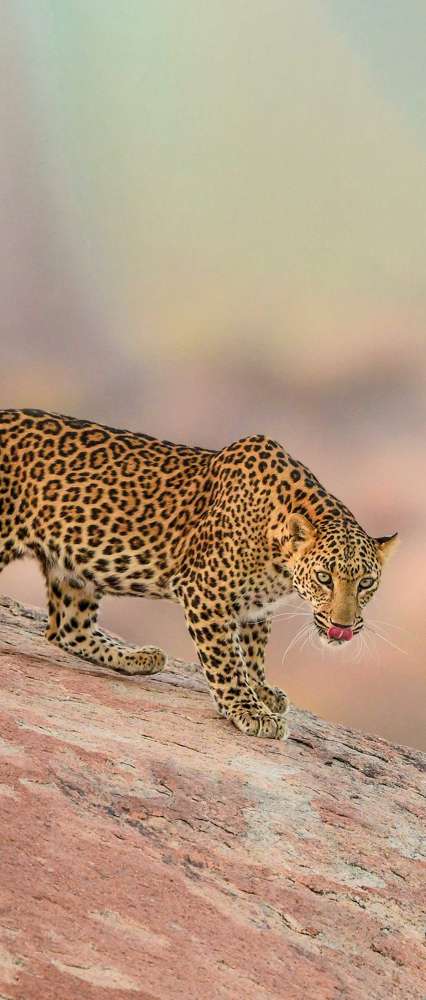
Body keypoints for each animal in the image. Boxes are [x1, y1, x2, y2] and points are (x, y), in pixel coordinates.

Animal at [0, 408, 396, 744]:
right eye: (324, 577)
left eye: (366, 583)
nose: (342, 626)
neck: (278, 551)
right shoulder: (205, 592)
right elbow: (226, 660)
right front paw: (249, 710)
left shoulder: (255, 607)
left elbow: (252, 651)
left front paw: (262, 690)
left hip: (74, 570)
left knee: (65, 629)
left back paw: (139, 658)